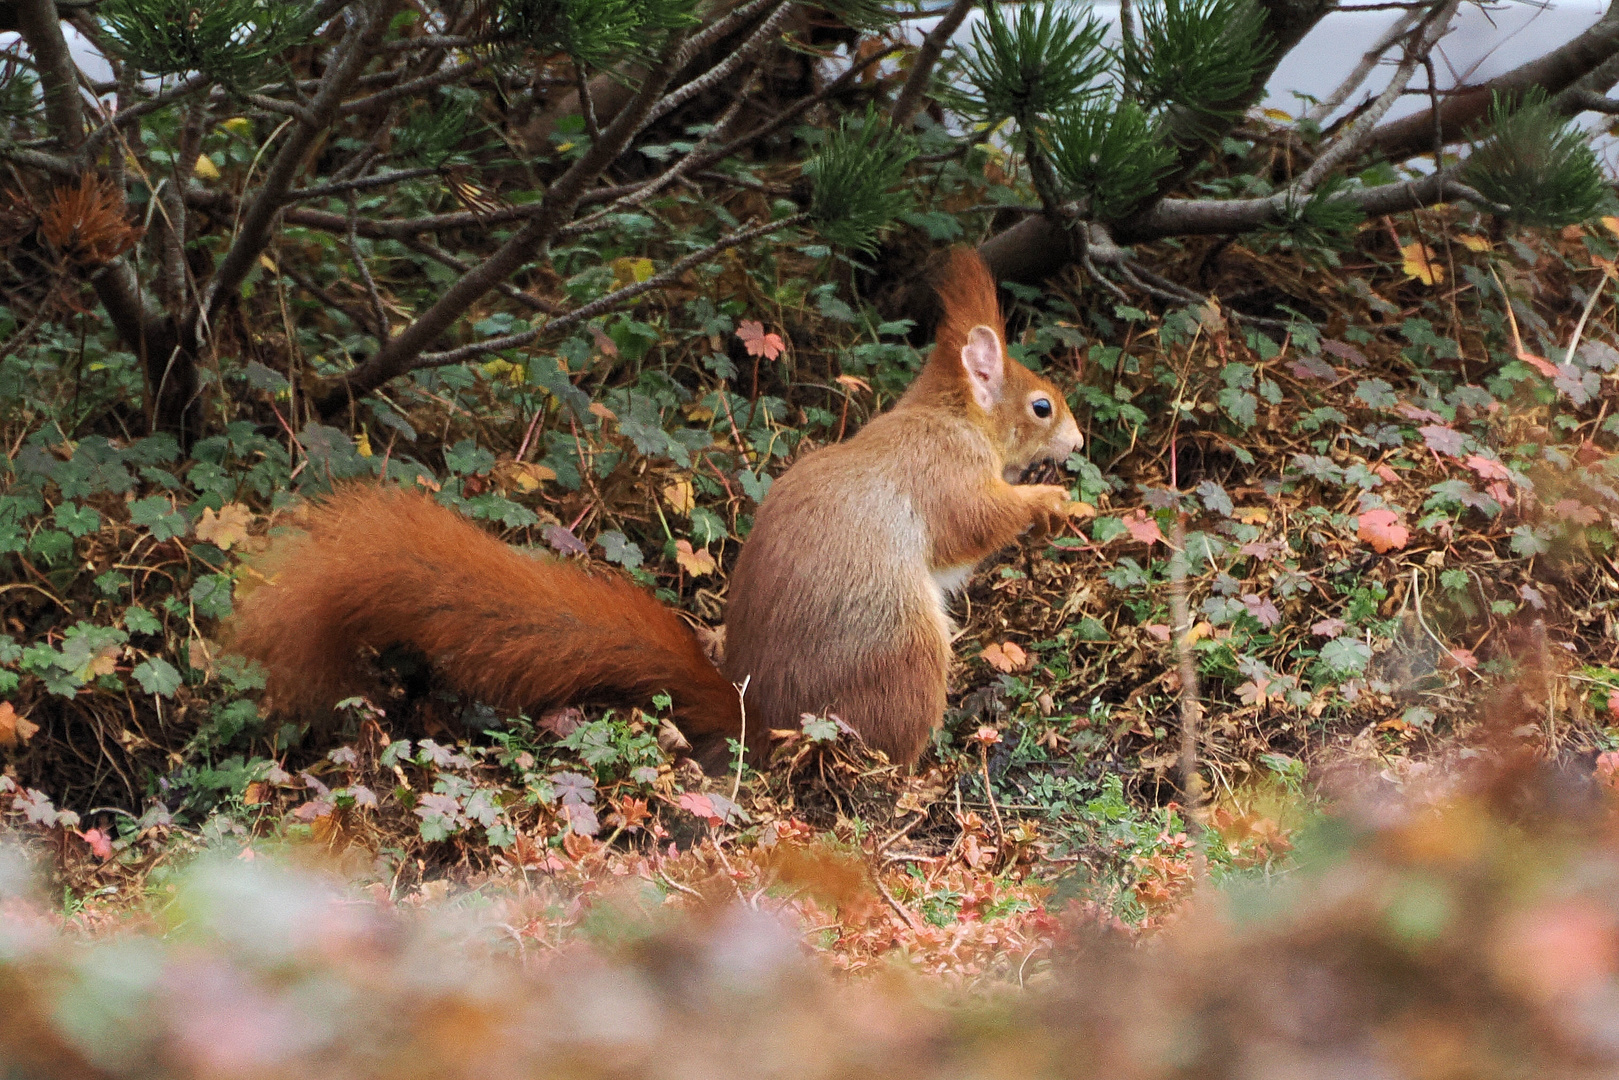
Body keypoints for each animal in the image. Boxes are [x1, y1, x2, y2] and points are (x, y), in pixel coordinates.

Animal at [221, 244, 1081, 767]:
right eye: (1041, 405)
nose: (1076, 442)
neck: (947, 416)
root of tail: (756, 717)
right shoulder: (942, 474)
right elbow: (976, 521)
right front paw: (1050, 502)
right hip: (901, 651)